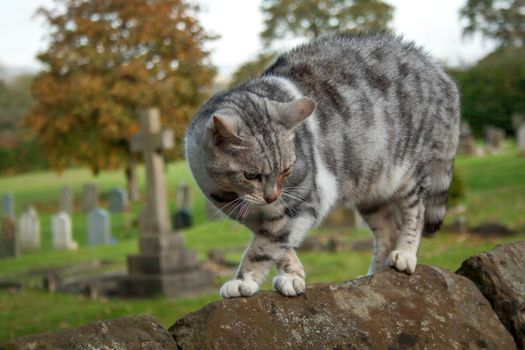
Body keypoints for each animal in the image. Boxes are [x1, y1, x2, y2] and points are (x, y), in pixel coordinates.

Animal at [184, 32, 458, 298]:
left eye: (286, 170)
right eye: (251, 175)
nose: (272, 197)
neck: (229, 193)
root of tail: (440, 72)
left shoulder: (300, 202)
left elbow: (264, 246)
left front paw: (243, 282)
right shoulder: (253, 217)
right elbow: (277, 245)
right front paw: (293, 275)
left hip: (408, 173)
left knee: (415, 213)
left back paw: (405, 255)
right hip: (372, 190)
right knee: (389, 230)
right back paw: (373, 275)